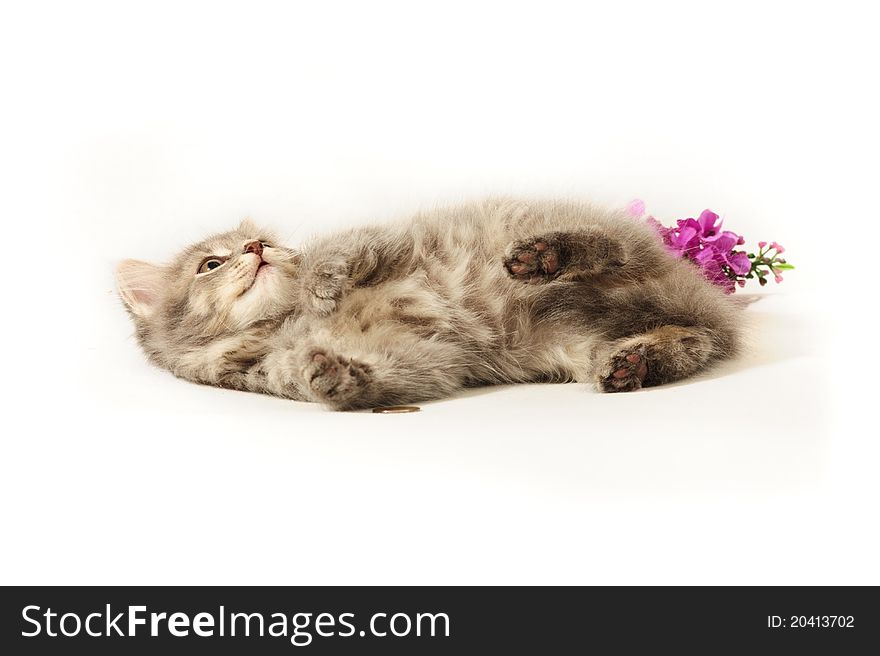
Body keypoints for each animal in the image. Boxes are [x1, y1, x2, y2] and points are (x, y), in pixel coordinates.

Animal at [117, 197, 744, 408]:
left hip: (615, 255)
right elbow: (372, 376)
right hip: (590, 344)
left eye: (269, 243)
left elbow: (333, 259)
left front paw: (320, 288)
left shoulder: (382, 240)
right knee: (693, 341)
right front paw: (329, 373)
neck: (278, 326)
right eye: (211, 264)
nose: (255, 248)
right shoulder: (428, 358)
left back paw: (545, 256)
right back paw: (631, 362)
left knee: (609, 250)